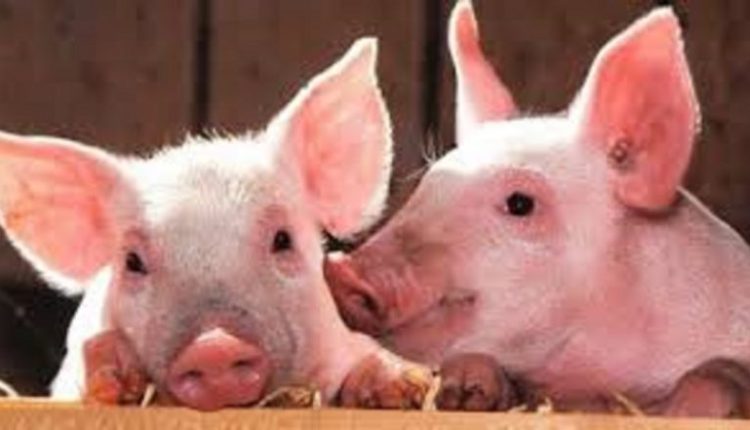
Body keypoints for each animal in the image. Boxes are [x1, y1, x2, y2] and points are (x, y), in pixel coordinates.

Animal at [325, 2, 750, 417]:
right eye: (429, 185)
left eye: (520, 203)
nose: (341, 269)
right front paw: (465, 389)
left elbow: (718, 375)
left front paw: (684, 411)